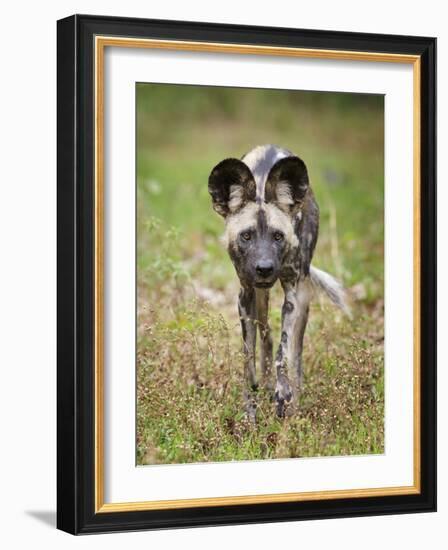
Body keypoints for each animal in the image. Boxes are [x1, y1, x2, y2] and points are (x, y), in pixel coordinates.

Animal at [208, 144, 348, 420]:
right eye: (246, 236)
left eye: (278, 236)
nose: (264, 268)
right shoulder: (245, 295)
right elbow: (248, 355)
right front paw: (251, 405)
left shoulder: (293, 292)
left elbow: (284, 352)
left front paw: (282, 393)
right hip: (260, 299)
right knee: (266, 336)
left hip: (302, 298)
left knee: (295, 352)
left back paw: (294, 402)